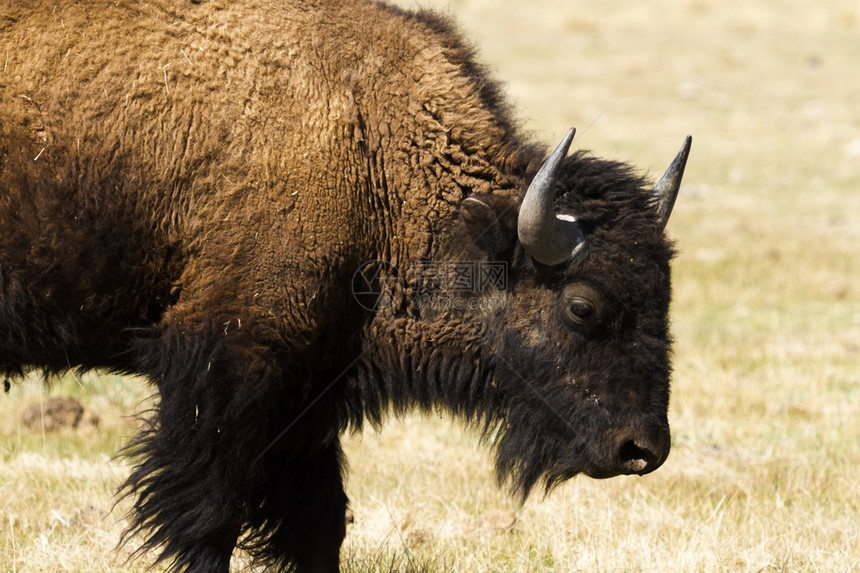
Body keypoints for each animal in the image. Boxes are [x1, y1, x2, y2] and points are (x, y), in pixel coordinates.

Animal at [0, 0, 688, 568]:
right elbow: (208, 516)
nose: (642, 449)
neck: (373, 159)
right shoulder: (225, 373)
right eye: (582, 307)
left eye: (664, 297)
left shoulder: (309, 396)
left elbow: (317, 524)